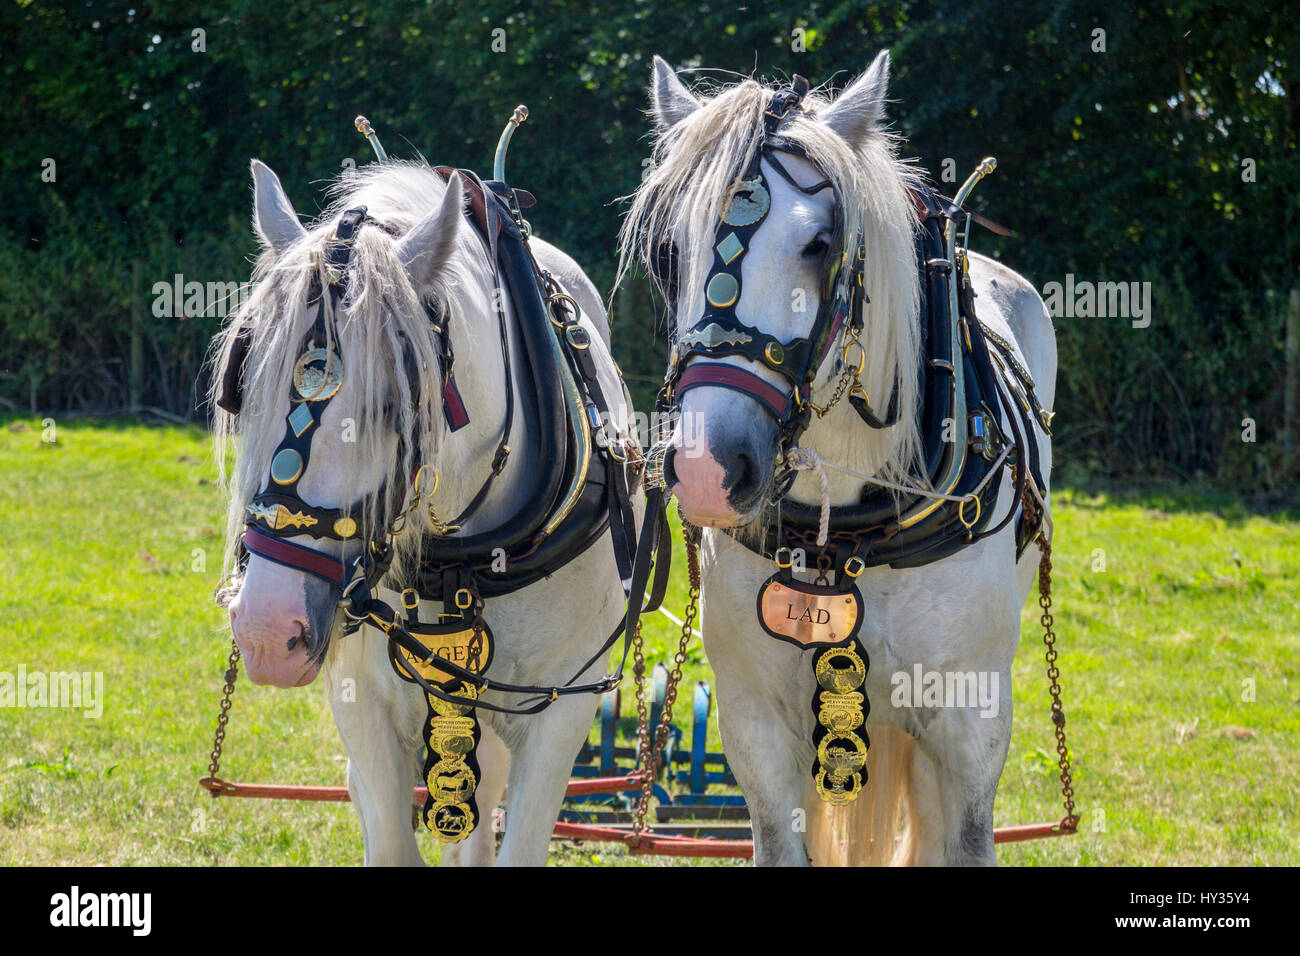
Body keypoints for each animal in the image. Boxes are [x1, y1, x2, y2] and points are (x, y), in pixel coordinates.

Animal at [211, 158, 634, 868]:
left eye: (392, 404)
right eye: (244, 388)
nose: (269, 633)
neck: (465, 559)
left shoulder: (561, 712)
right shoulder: (364, 709)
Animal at [624, 50, 1060, 868]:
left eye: (820, 244)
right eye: (668, 252)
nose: (706, 471)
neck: (850, 535)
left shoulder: (970, 727)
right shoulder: (757, 724)